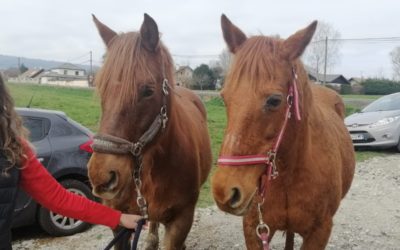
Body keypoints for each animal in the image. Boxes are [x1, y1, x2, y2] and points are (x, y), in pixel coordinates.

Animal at [211, 14, 354, 249]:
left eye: (274, 100)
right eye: (224, 97)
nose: (225, 190)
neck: (290, 173)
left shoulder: (320, 232)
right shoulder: (255, 230)